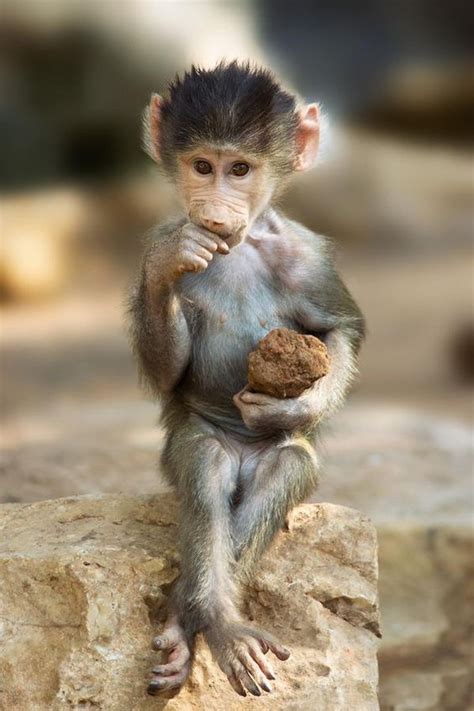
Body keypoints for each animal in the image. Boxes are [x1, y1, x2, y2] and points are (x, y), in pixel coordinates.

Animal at [128, 62, 364, 700]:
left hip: (266, 456)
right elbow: (167, 371)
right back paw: (212, 620)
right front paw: (176, 260)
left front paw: (293, 407)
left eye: (240, 169)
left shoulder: (309, 258)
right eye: (201, 166)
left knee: (289, 463)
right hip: (198, 444)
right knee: (205, 462)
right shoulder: (157, 238)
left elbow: (342, 331)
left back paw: (200, 621)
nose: (215, 208)